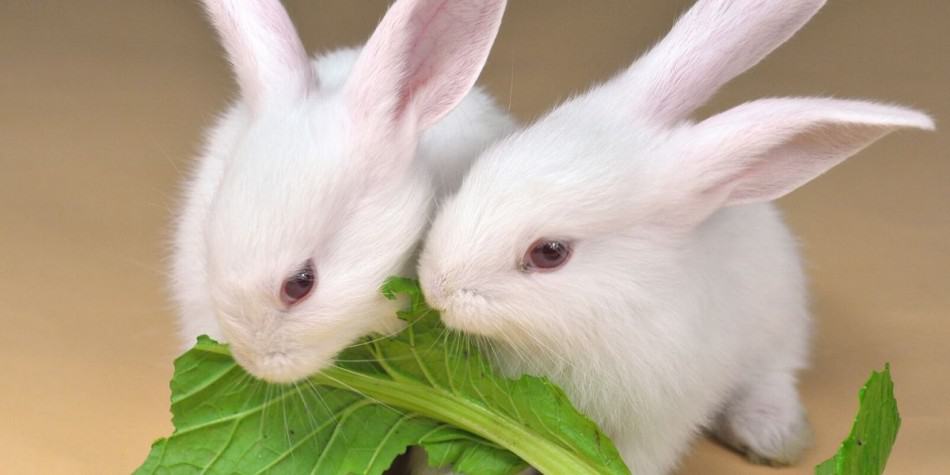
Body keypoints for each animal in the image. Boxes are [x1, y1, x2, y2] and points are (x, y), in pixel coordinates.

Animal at [418, 0, 936, 475]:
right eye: (479, 166)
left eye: (550, 253)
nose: (435, 287)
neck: (619, 304)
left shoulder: (659, 419)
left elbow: (640, 457)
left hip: (779, 327)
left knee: (773, 376)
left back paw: (772, 435)